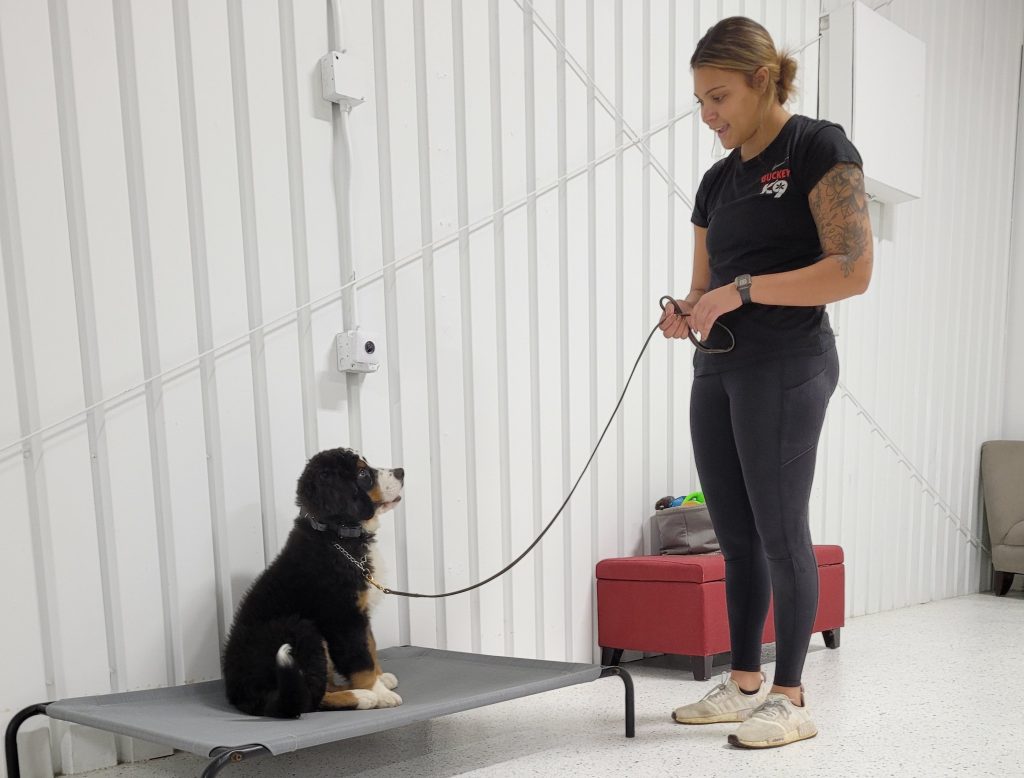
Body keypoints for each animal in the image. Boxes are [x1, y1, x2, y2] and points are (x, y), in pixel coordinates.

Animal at [223, 446, 403, 720]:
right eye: (363, 473)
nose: (401, 472)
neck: (336, 535)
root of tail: (238, 693)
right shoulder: (343, 616)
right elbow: (361, 658)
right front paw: (379, 691)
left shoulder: (359, 611)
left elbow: (370, 644)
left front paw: (381, 678)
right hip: (301, 629)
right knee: (308, 699)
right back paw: (362, 696)